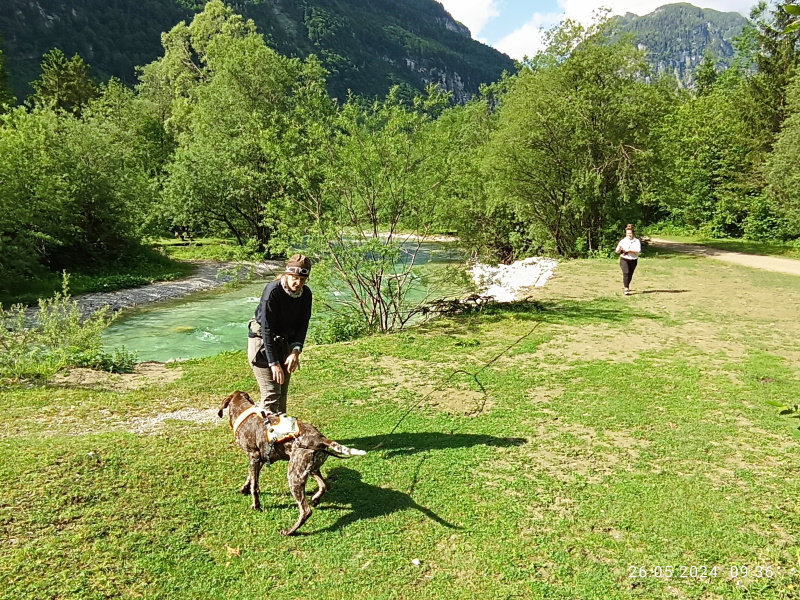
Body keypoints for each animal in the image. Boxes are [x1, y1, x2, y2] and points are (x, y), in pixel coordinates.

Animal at [218, 391, 365, 535]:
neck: (244, 410)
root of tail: (321, 438)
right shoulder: (259, 459)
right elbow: (251, 477)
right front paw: (244, 488)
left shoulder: (253, 456)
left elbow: (255, 486)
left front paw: (256, 505)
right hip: (311, 469)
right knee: (325, 485)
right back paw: (315, 499)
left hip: (294, 477)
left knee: (306, 510)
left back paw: (290, 531)